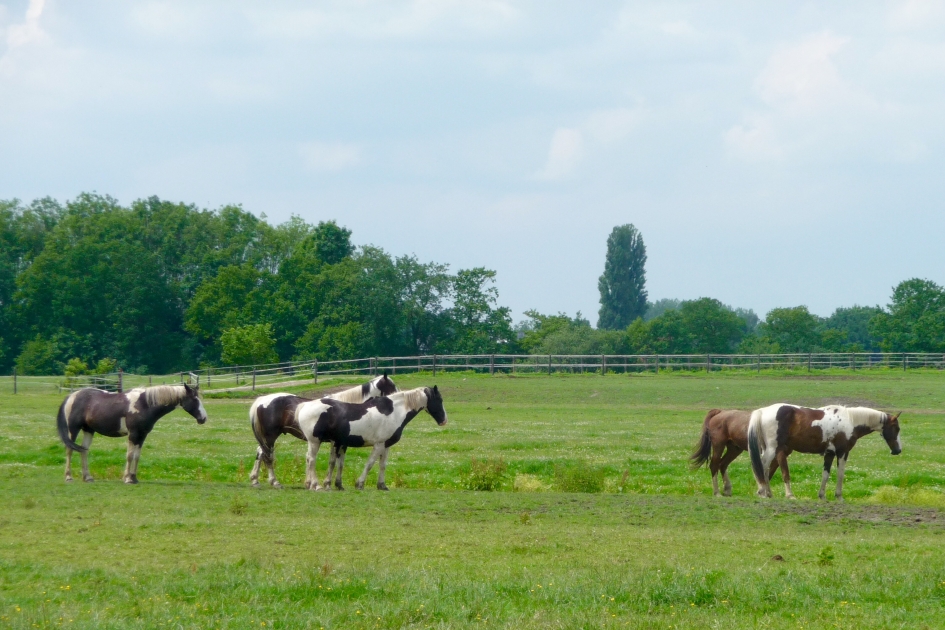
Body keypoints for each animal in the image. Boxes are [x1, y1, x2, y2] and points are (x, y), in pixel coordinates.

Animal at [56, 384, 207, 484]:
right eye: (195, 400)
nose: (204, 418)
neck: (144, 404)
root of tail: (72, 395)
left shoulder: (142, 435)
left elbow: (136, 456)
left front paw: (134, 477)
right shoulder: (133, 434)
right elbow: (129, 455)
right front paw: (127, 478)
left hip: (89, 430)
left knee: (84, 451)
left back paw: (87, 477)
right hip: (73, 430)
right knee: (69, 450)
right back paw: (68, 476)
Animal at [248, 374, 397, 488]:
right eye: (391, 386)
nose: (397, 395)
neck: (346, 409)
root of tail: (262, 399)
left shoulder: (342, 443)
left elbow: (340, 462)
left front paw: (335, 484)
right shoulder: (335, 442)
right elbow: (332, 462)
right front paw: (326, 484)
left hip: (267, 438)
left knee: (260, 453)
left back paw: (255, 480)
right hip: (270, 437)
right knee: (267, 456)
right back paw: (275, 482)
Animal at [296, 386, 447, 491]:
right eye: (439, 400)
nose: (444, 421)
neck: (394, 411)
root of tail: (305, 406)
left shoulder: (386, 445)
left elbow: (382, 465)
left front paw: (382, 485)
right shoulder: (378, 445)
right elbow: (369, 464)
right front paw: (360, 484)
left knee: (309, 459)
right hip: (315, 441)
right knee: (312, 460)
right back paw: (316, 485)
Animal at [748, 404, 901, 500]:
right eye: (896, 428)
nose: (898, 450)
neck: (850, 421)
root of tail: (763, 411)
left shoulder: (830, 453)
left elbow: (825, 475)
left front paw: (822, 495)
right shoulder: (842, 452)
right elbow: (840, 474)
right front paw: (839, 496)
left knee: (765, 470)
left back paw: (768, 493)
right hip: (772, 449)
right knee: (762, 467)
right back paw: (764, 492)